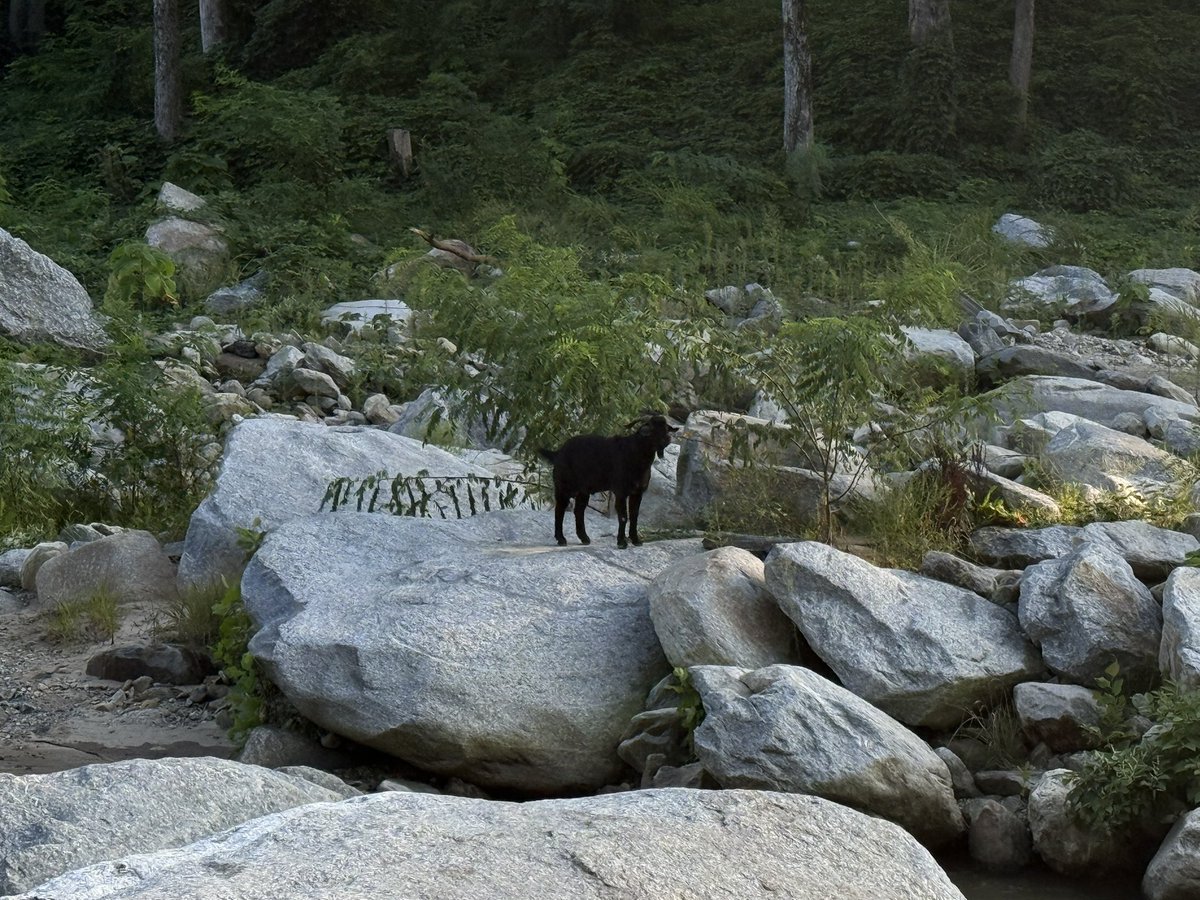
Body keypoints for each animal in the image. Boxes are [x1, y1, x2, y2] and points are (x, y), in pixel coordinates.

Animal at [538, 414, 678, 549]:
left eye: (666, 428)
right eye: (653, 429)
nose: (667, 439)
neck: (634, 454)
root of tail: (558, 453)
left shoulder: (637, 492)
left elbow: (634, 516)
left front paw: (636, 541)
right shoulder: (620, 491)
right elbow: (623, 516)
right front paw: (621, 543)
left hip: (583, 491)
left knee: (578, 510)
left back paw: (584, 538)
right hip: (564, 486)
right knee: (560, 509)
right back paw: (561, 539)